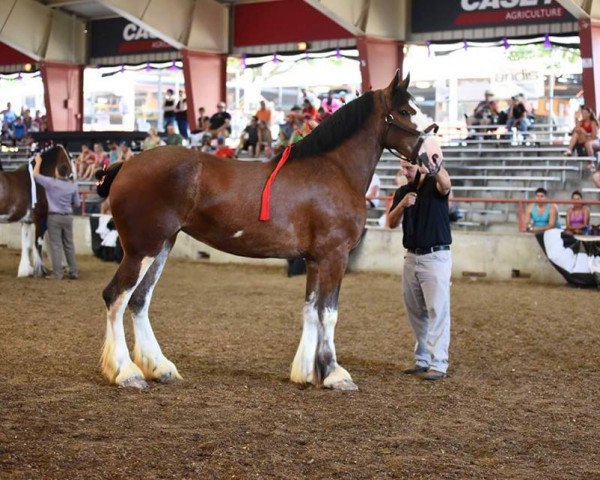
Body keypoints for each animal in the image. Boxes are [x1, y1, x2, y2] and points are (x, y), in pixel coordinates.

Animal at [0, 144, 72, 276]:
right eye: (69, 157)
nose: (71, 176)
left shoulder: (26, 221)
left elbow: (26, 244)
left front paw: (25, 271)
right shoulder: (40, 220)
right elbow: (38, 243)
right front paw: (41, 271)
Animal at [97, 73, 426, 392]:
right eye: (406, 111)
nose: (431, 156)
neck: (334, 170)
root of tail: (126, 164)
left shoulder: (315, 259)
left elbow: (311, 309)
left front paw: (307, 373)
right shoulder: (335, 256)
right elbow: (328, 313)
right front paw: (335, 375)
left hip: (162, 246)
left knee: (139, 300)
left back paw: (160, 367)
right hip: (142, 249)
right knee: (116, 296)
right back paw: (126, 373)